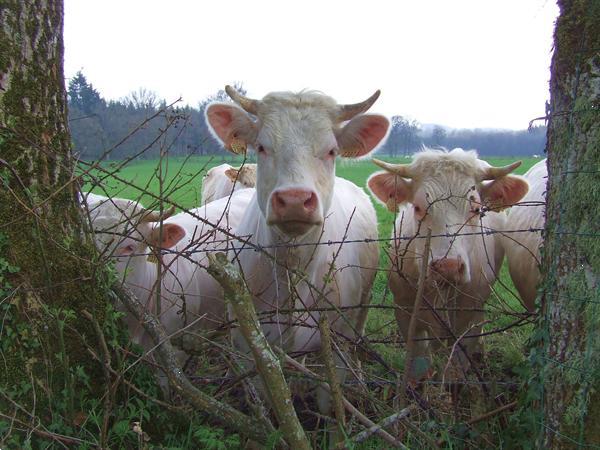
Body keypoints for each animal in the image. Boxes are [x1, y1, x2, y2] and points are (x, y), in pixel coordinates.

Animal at [204, 85, 386, 412]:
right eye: (262, 147)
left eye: (331, 151)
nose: (294, 200)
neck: (293, 266)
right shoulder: (248, 345)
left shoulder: (337, 344)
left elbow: (329, 405)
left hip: (363, 305)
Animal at [368, 149, 528, 382]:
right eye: (418, 207)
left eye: (477, 208)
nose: (448, 266)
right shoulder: (404, 310)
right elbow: (418, 365)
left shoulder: (467, 315)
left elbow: (457, 367)